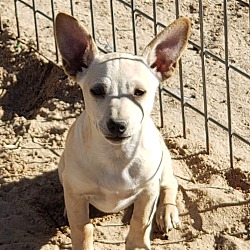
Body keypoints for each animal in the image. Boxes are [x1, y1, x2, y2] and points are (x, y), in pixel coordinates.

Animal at [54, 12, 189, 249]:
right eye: (97, 91)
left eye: (139, 92)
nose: (117, 125)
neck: (116, 157)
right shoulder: (76, 194)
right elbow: (82, 229)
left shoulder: (148, 191)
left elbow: (140, 221)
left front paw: (138, 243)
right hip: (63, 170)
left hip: (163, 165)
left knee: (171, 183)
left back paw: (167, 212)